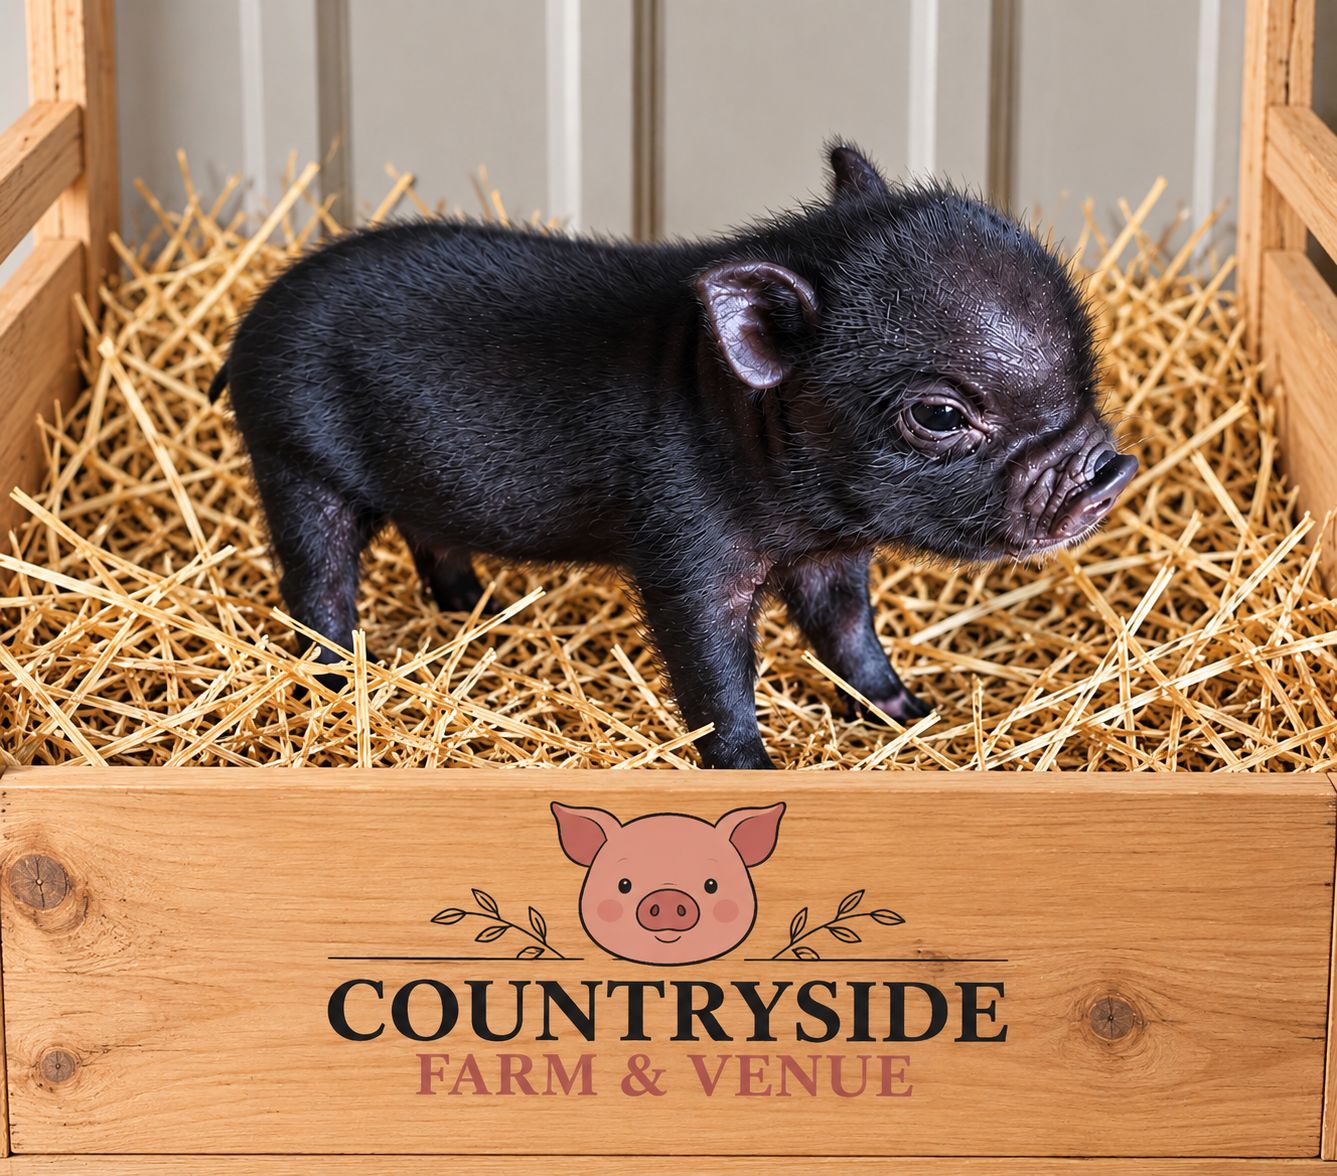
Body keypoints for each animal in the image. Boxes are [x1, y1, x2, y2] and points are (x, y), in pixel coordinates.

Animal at [208, 141, 1138, 770]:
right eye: (939, 414)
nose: (1109, 467)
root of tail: (248, 329)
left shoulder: (831, 555)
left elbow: (848, 635)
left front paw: (909, 712)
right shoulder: (685, 551)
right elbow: (711, 668)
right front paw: (754, 767)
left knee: (427, 535)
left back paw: (476, 609)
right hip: (293, 459)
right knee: (318, 583)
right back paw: (338, 682)